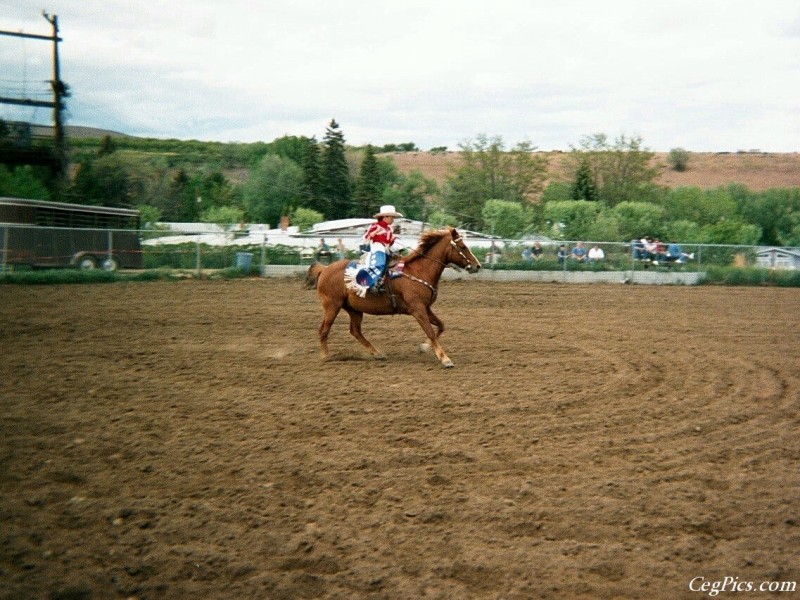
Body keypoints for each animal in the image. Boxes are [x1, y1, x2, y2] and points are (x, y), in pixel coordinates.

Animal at [306, 227, 482, 368]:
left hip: (354, 309)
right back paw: (325, 356)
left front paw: (424, 348)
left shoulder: (426, 308)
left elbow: (441, 326)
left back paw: (377, 353)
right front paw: (445, 359)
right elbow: (431, 332)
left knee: (355, 331)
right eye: (463, 247)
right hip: (332, 306)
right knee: (324, 330)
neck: (419, 271)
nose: (477, 266)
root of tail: (324, 269)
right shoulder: (418, 310)